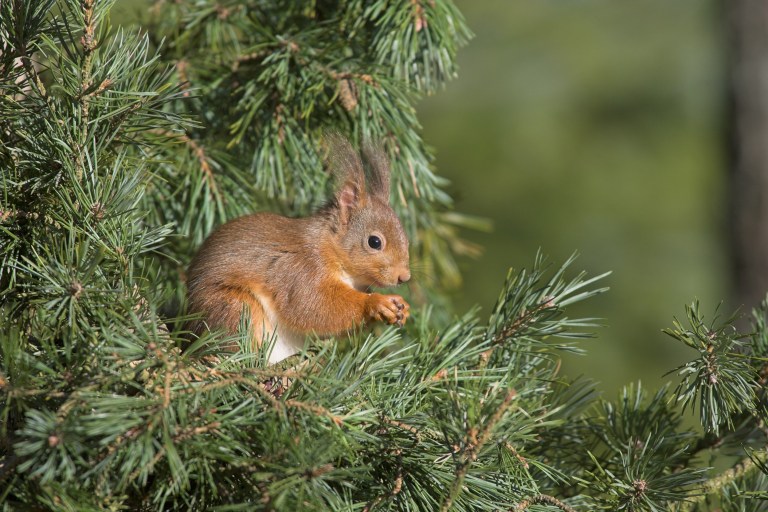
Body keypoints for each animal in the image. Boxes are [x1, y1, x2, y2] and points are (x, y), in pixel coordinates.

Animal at [185, 138, 412, 362]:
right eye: (374, 242)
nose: (404, 277)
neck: (329, 248)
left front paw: (403, 307)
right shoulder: (302, 270)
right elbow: (311, 305)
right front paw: (376, 302)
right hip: (234, 309)